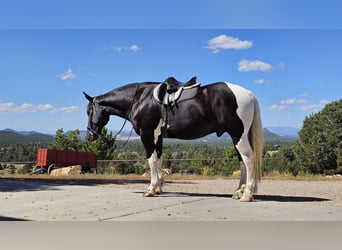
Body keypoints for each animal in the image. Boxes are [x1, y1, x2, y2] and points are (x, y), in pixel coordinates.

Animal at [83, 76, 264, 201]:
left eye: (89, 111)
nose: (90, 136)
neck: (139, 99)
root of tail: (248, 94)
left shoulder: (147, 134)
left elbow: (151, 161)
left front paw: (151, 189)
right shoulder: (158, 137)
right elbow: (159, 160)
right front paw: (158, 187)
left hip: (238, 135)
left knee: (248, 159)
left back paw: (247, 194)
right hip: (237, 137)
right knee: (242, 161)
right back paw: (238, 192)